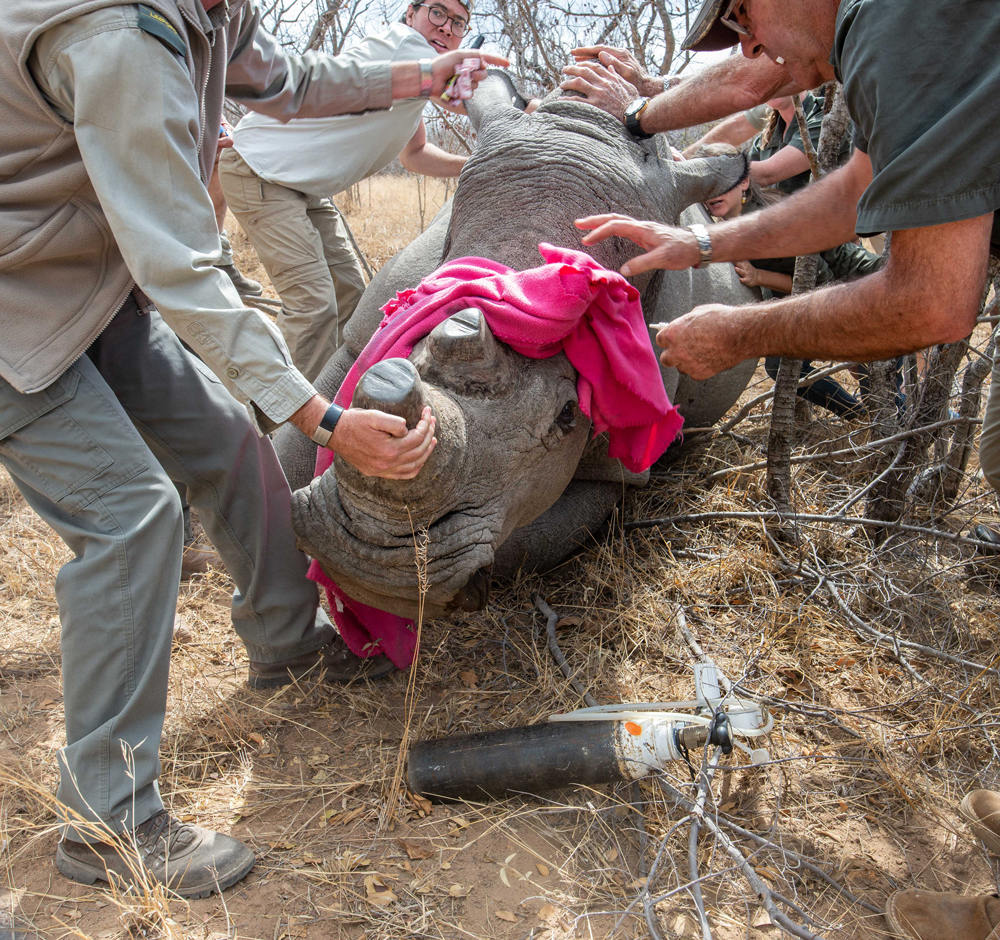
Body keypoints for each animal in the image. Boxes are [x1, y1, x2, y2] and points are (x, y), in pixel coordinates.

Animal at [276, 71, 756, 616]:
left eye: (569, 415)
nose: (366, 561)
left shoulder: (613, 465)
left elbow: (519, 548)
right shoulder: (361, 340)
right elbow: (294, 437)